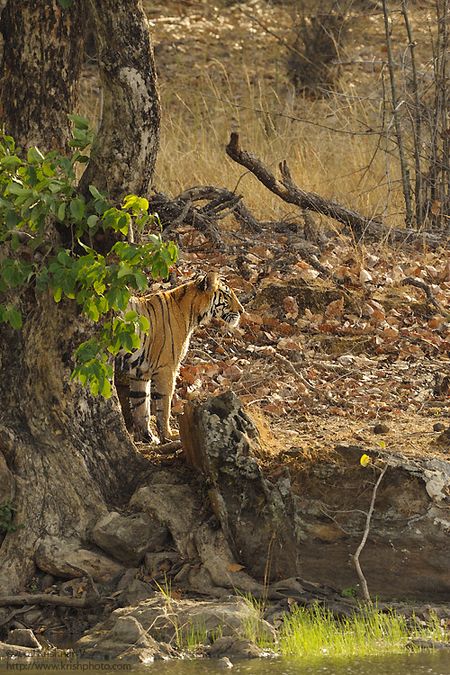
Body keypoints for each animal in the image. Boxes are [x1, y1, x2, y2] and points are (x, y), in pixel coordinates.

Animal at [115, 272, 243, 446]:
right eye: (228, 295)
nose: (242, 311)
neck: (191, 313)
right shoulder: (167, 368)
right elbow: (164, 403)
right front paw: (168, 435)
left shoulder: (140, 371)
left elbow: (141, 404)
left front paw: (148, 437)